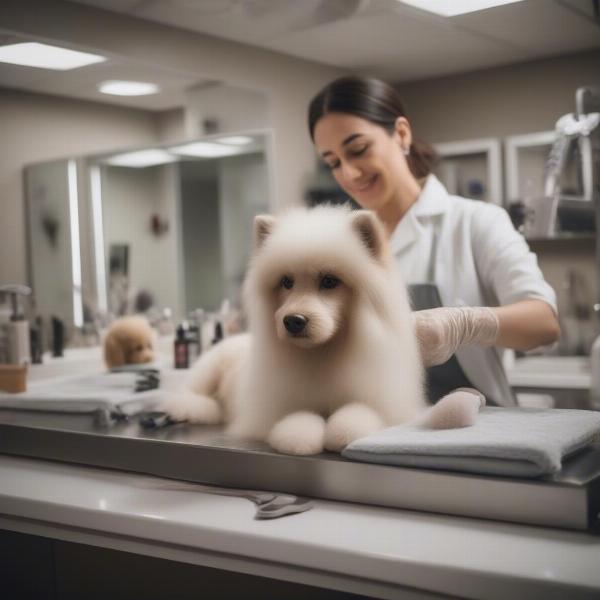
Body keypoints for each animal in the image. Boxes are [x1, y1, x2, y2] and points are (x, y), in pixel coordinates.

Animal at [164, 206, 426, 454]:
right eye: (286, 282)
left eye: (329, 281)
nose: (293, 321)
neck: (323, 354)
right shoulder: (277, 407)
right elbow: (297, 420)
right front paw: (299, 439)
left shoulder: (379, 402)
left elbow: (358, 414)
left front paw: (342, 432)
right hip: (210, 368)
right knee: (188, 393)